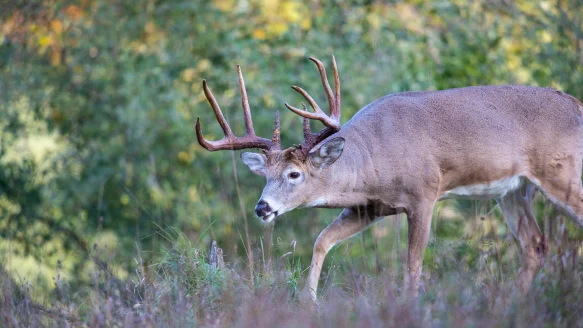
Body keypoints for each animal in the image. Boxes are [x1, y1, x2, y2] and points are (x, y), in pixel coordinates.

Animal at [195, 54, 583, 302]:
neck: (375, 160)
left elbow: (412, 264)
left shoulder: (425, 193)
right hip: (515, 190)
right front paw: (310, 302)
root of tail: (576, 103)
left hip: (562, 173)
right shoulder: (369, 208)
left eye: (294, 174)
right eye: (265, 174)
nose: (262, 208)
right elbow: (322, 241)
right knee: (535, 245)